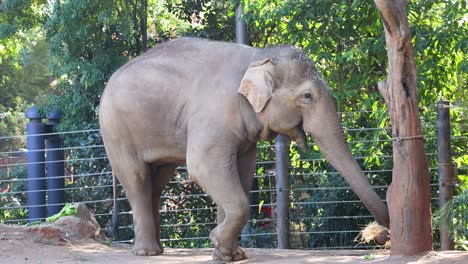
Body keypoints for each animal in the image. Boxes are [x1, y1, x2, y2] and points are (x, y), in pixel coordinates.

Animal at [99, 36, 392, 260]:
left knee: (158, 180)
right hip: (115, 129)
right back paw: (146, 253)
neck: (258, 56)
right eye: (307, 96)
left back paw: (157, 250)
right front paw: (219, 242)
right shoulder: (213, 115)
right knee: (137, 177)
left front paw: (228, 254)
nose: (381, 235)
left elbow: (242, 171)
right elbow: (204, 167)